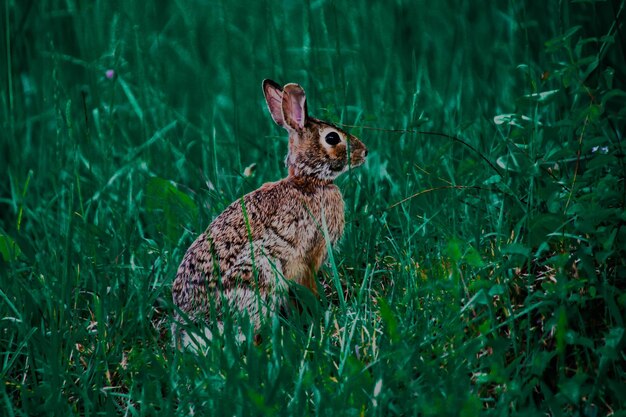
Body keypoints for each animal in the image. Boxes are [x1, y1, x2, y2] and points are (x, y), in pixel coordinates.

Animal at [171, 79, 366, 348]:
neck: (309, 181)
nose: (364, 152)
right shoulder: (310, 255)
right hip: (259, 275)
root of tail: (196, 329)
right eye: (332, 137)